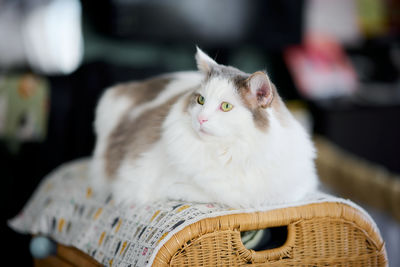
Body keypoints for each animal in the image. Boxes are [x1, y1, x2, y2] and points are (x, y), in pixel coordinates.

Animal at [90, 48, 318, 209]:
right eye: (201, 100)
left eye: (225, 106)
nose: (200, 119)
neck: (234, 152)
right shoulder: (168, 184)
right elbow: (220, 194)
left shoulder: (295, 189)